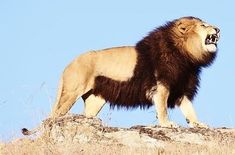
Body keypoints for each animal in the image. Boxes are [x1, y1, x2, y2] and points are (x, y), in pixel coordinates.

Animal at [22, 16, 220, 134]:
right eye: (204, 25)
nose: (218, 29)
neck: (187, 57)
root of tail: (68, 65)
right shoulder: (161, 86)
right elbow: (163, 108)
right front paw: (167, 124)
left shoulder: (181, 89)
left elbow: (190, 110)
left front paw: (198, 124)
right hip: (71, 92)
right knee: (54, 115)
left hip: (95, 100)